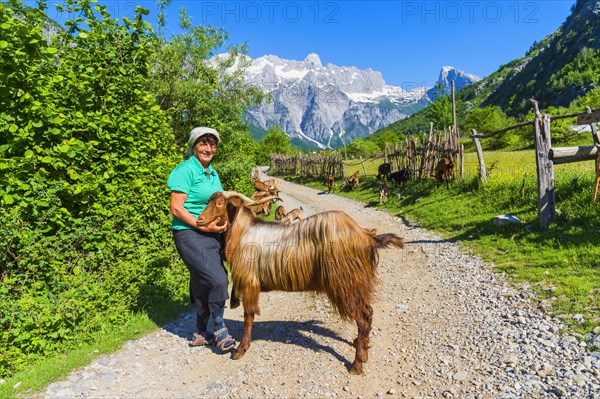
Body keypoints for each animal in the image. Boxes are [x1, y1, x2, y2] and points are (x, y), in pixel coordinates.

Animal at [198, 192, 404, 376]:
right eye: (209, 201)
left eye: (219, 204)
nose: (199, 220)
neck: (243, 231)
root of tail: (365, 236)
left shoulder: (250, 283)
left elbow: (248, 317)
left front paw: (241, 349)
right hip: (357, 283)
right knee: (368, 313)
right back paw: (363, 350)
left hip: (345, 283)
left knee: (362, 318)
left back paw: (357, 364)